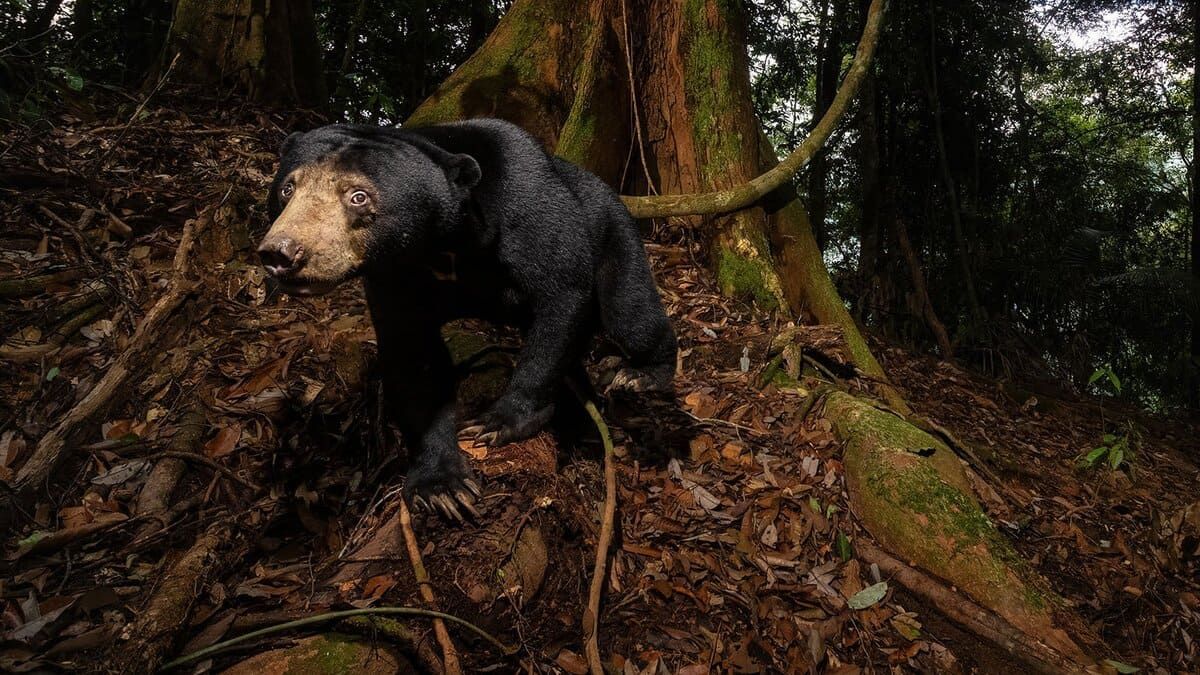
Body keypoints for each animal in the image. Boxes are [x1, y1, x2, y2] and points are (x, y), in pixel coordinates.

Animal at [257, 119, 677, 522]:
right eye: (287, 189)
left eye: (358, 196)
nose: (282, 252)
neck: (443, 243)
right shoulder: (393, 274)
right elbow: (413, 355)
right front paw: (441, 488)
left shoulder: (528, 205)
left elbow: (562, 292)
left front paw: (498, 422)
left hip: (613, 231)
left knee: (629, 314)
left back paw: (640, 374)